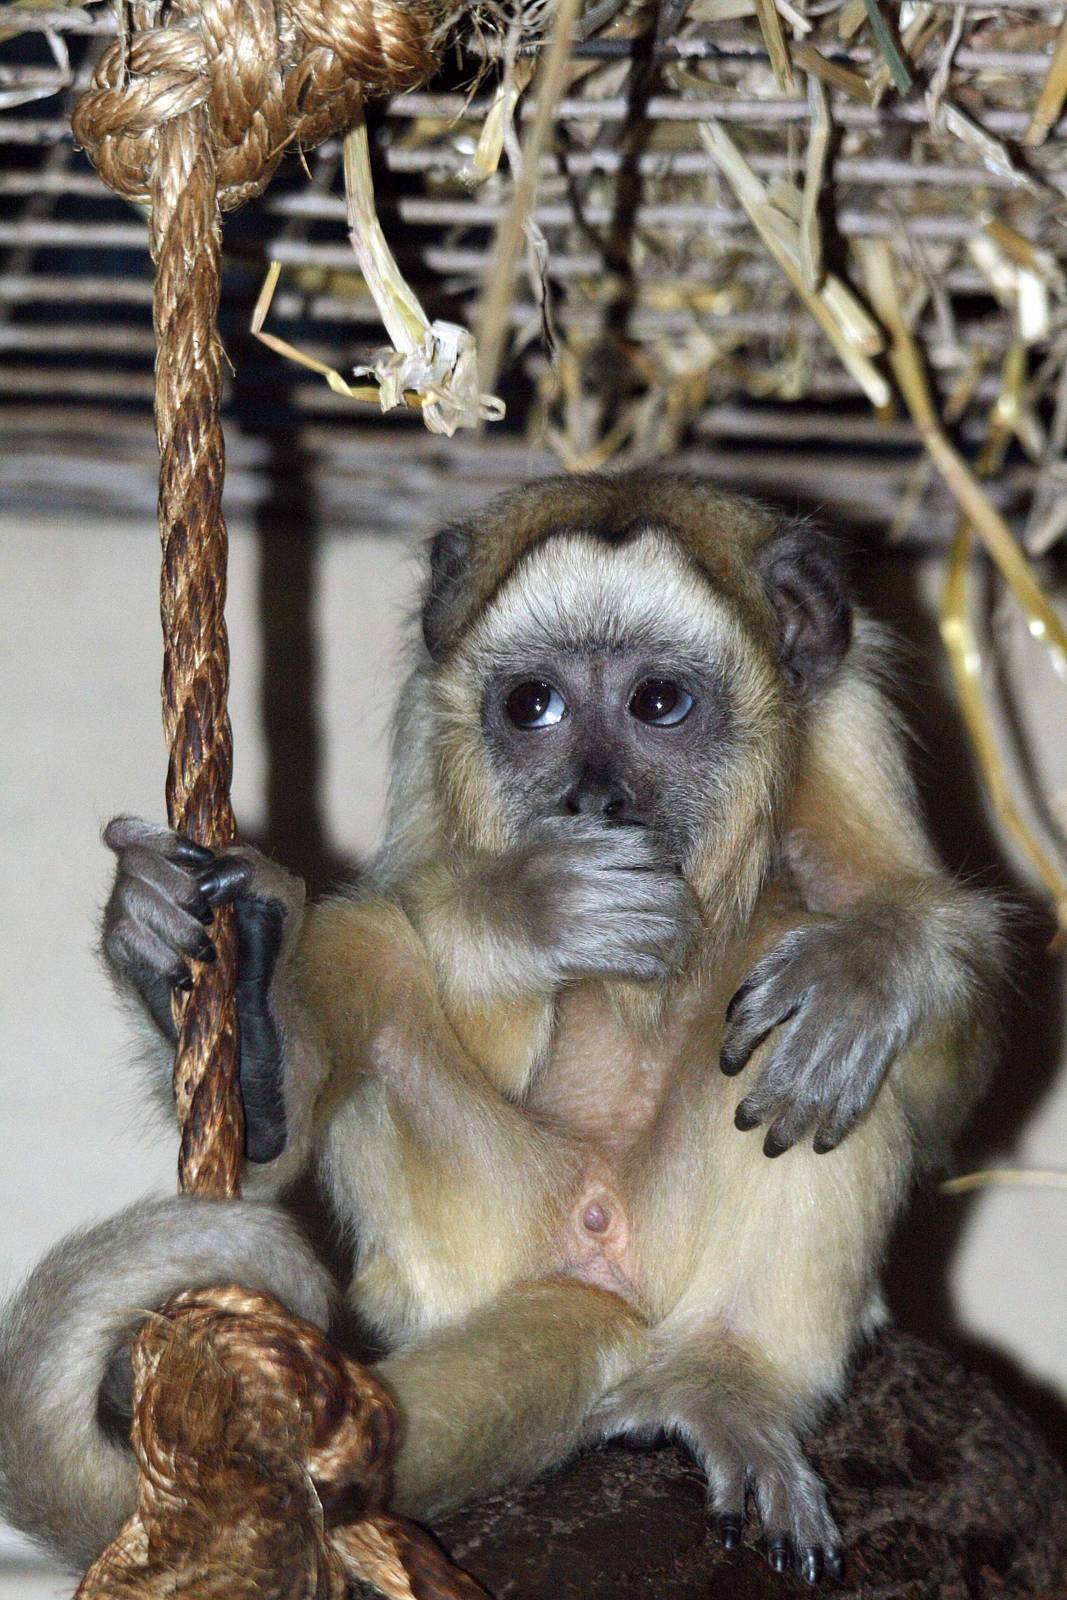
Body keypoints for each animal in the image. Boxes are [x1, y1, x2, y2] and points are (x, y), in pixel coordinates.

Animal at [0, 470, 1004, 1588]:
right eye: (533, 707)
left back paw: (732, 1372)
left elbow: (940, 1065)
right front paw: (531, 906)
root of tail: (604, 1270)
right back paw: (258, 1046)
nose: (594, 799)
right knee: (377, 955)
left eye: (659, 702)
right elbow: (418, 913)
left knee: (809, 1024)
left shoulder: (850, 719)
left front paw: (865, 969)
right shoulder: (428, 725)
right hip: (480, 1228)